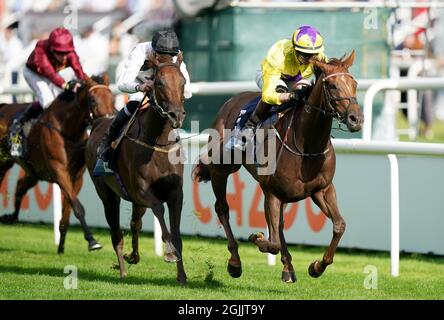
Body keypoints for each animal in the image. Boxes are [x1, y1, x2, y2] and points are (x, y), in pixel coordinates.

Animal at [0, 76, 116, 254]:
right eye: (93, 100)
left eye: (111, 97)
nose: (108, 122)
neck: (68, 130)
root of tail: (4, 105)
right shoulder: (59, 171)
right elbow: (78, 207)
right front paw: (92, 241)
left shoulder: (76, 177)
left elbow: (68, 210)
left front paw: (61, 247)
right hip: (4, 162)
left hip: (34, 171)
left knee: (20, 186)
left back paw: (10, 217)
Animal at [85, 53, 187, 284]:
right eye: (159, 82)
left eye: (183, 82)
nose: (176, 115)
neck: (158, 143)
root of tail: (99, 122)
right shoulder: (141, 191)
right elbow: (158, 208)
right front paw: (169, 253)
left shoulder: (176, 193)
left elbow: (177, 233)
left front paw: (182, 276)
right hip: (107, 194)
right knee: (116, 233)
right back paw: (123, 270)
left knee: (134, 224)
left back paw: (133, 256)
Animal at [194, 51, 364, 284]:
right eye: (332, 86)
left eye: (354, 83)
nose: (357, 119)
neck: (306, 144)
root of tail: (230, 101)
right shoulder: (271, 192)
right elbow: (272, 242)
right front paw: (256, 237)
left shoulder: (322, 189)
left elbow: (339, 225)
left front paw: (317, 266)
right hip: (222, 169)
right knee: (223, 209)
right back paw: (235, 262)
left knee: (280, 225)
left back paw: (288, 268)